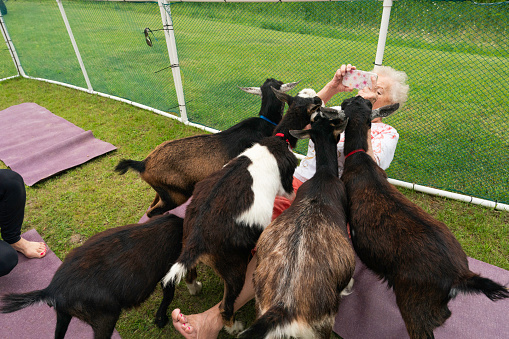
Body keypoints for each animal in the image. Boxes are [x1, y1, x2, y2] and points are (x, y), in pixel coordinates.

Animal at [336, 96, 506, 339]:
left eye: (347, 103)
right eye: (361, 103)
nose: (355, 97)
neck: (360, 158)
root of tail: (460, 275)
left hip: (415, 306)